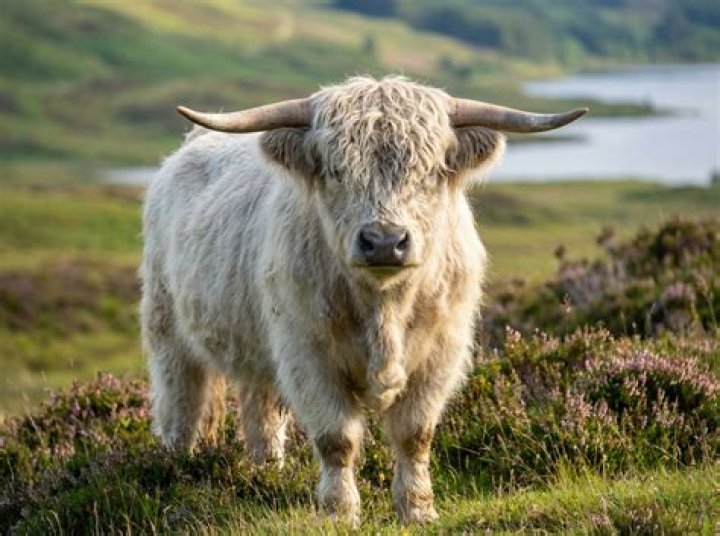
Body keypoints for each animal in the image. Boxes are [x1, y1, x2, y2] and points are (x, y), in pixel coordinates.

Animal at [140, 75, 586, 525]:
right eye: (337, 170)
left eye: (429, 171)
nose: (384, 241)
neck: (383, 308)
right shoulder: (308, 356)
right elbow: (337, 438)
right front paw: (339, 512)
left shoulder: (439, 355)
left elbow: (415, 434)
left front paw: (418, 509)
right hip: (167, 329)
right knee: (181, 404)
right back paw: (176, 468)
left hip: (257, 350)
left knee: (259, 412)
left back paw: (267, 472)